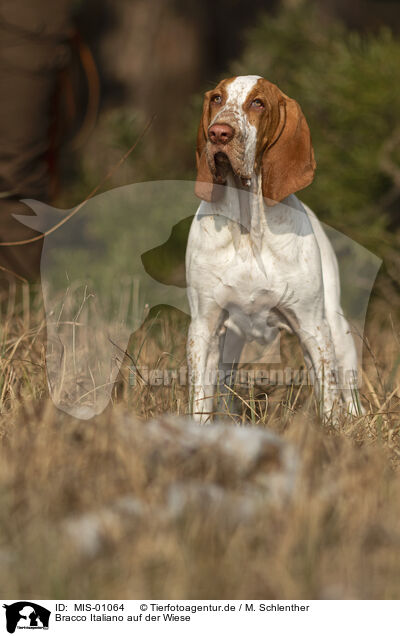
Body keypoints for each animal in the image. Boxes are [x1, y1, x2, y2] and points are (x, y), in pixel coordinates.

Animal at [186, 76, 360, 422]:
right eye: (217, 99)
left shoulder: (313, 328)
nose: (218, 133)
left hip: (336, 329)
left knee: (347, 392)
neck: (248, 229)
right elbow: (201, 401)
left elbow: (329, 399)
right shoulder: (204, 327)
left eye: (258, 103)